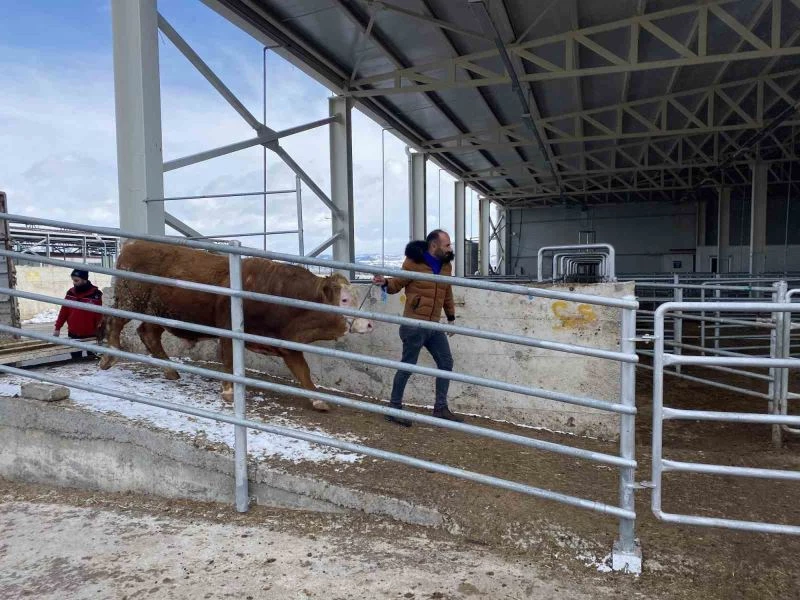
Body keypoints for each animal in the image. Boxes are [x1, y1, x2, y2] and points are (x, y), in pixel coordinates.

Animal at [98, 239, 374, 412]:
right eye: (344, 299)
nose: (369, 323)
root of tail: (133, 245)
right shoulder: (229, 329)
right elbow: (229, 360)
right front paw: (229, 391)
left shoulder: (287, 342)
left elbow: (303, 372)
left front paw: (318, 401)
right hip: (130, 300)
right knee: (115, 321)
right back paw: (109, 356)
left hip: (160, 313)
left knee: (148, 333)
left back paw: (170, 370)